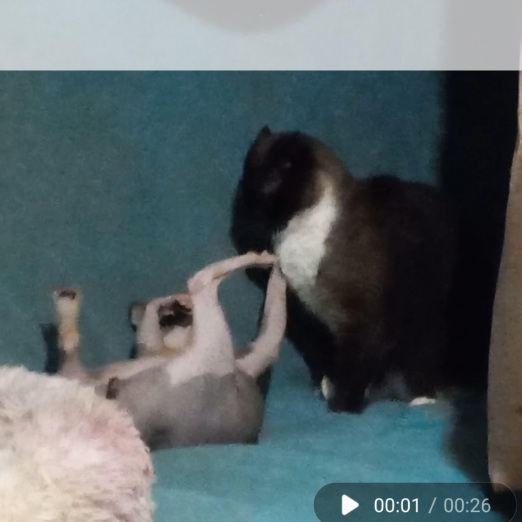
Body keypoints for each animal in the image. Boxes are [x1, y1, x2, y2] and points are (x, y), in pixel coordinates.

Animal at [230, 126, 456, 413]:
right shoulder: (322, 320)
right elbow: (336, 362)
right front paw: (333, 389)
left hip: (425, 315)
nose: (243, 218)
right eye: (243, 192)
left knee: (422, 359)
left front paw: (342, 408)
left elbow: (354, 369)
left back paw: (422, 399)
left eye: (264, 188)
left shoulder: (361, 322)